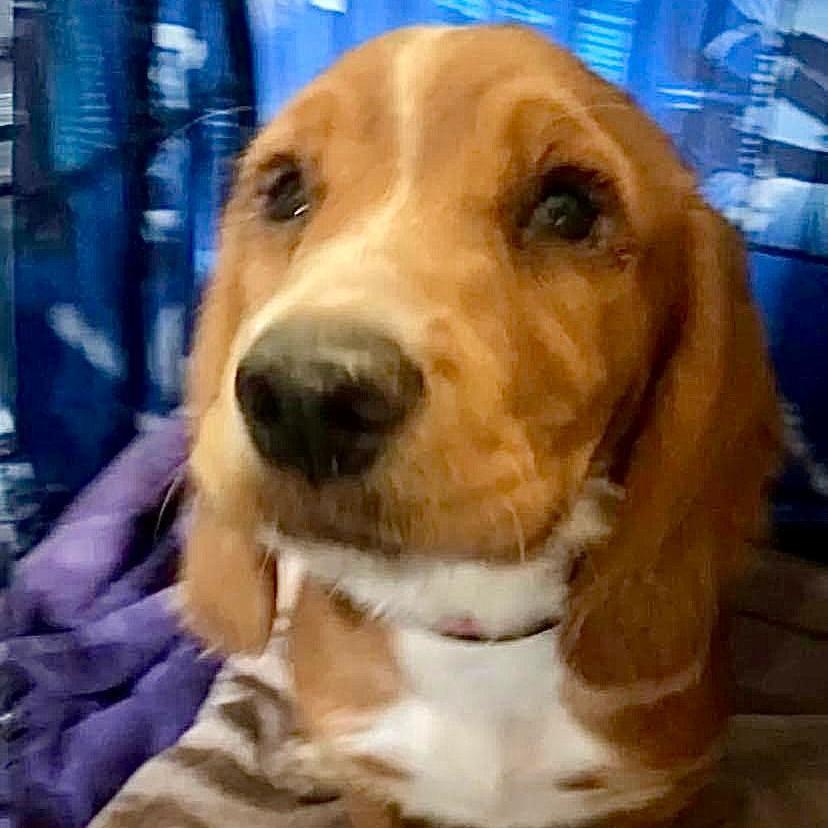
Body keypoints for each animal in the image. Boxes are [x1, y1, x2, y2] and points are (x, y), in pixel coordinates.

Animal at [181, 22, 784, 828]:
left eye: (568, 209)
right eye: (283, 193)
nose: (307, 396)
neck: (475, 628)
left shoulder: (651, 795)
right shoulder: (378, 788)